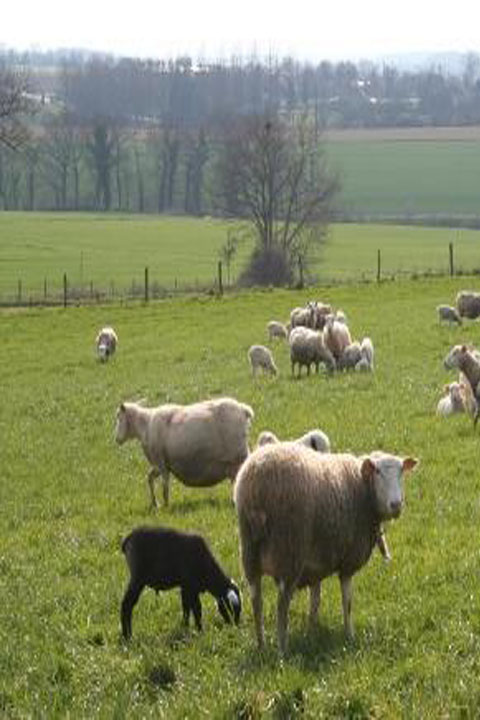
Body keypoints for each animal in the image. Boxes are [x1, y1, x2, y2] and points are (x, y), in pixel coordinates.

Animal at [116, 396, 253, 510]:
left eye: (118, 418)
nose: (116, 439)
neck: (145, 427)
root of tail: (243, 409)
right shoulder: (161, 465)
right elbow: (149, 478)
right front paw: (155, 504)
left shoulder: (161, 464)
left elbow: (165, 488)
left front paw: (166, 506)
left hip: (238, 456)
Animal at [234, 442, 418, 656]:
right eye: (378, 471)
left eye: (401, 471)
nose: (396, 505)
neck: (362, 487)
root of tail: (256, 482)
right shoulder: (347, 564)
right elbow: (347, 602)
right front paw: (349, 635)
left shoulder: (316, 563)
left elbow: (315, 601)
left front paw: (311, 633)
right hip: (289, 551)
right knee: (282, 606)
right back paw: (282, 650)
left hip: (249, 553)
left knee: (256, 600)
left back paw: (261, 645)